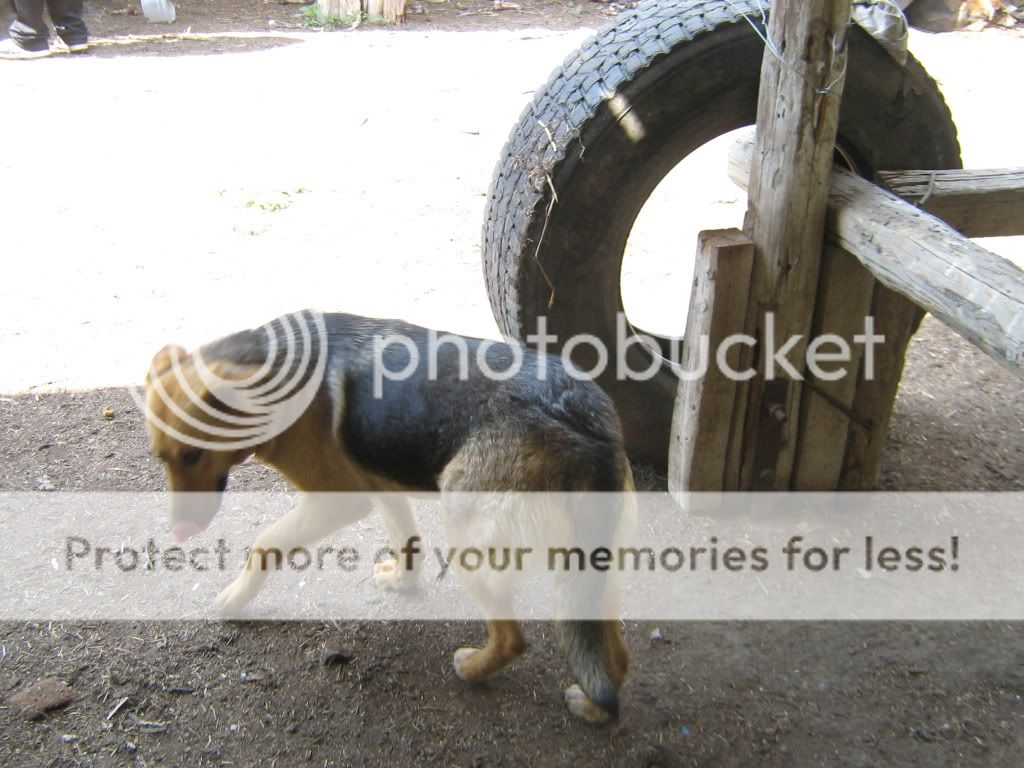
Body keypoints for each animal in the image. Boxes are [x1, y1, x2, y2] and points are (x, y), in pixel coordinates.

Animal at [144, 311, 630, 720]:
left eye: (194, 455)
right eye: (163, 459)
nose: (178, 533)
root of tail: (578, 422)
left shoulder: (337, 499)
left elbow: (266, 542)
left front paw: (236, 597)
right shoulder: (380, 486)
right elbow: (407, 541)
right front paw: (402, 582)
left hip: (471, 538)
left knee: (513, 639)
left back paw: (474, 668)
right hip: (589, 566)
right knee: (615, 656)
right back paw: (594, 705)